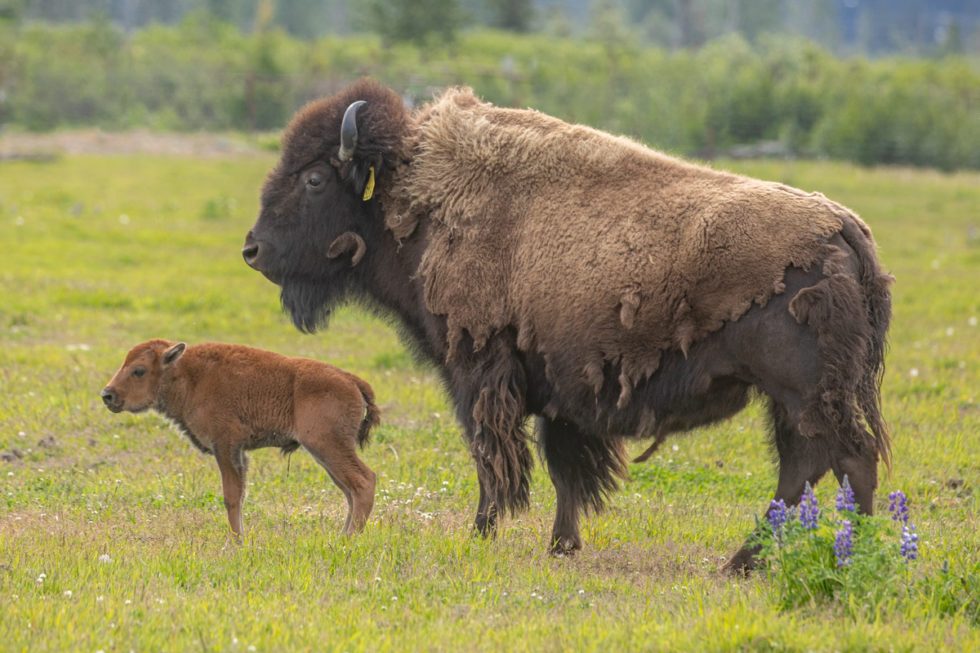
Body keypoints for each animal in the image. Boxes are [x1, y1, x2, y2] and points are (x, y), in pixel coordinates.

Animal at [242, 79, 892, 570]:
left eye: (314, 179)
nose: (253, 251)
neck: (417, 200)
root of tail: (843, 227)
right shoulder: (559, 393)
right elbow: (564, 471)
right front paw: (562, 544)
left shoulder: (478, 373)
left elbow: (493, 458)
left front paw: (482, 534)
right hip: (790, 400)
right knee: (803, 469)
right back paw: (751, 561)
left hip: (803, 393)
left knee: (846, 461)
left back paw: (826, 558)